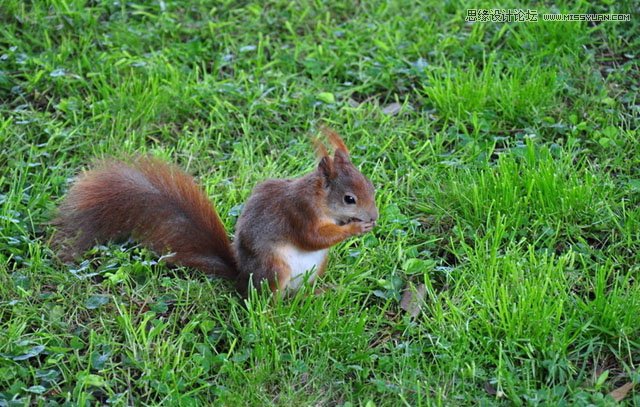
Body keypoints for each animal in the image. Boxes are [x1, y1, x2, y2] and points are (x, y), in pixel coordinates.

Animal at [53, 129, 380, 294]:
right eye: (349, 198)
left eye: (371, 185)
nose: (374, 217)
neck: (319, 199)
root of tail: (242, 278)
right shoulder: (299, 213)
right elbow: (313, 237)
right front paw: (354, 228)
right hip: (274, 268)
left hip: (315, 268)